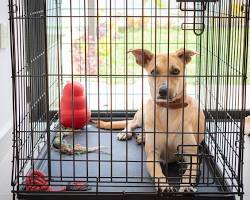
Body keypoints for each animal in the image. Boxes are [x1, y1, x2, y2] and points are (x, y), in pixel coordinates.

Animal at [94, 48, 204, 192]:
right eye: (154, 72)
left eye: (175, 71)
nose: (163, 91)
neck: (167, 111)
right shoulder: (152, 155)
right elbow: (157, 172)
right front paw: (164, 185)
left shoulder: (192, 155)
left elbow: (189, 172)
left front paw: (185, 186)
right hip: (143, 114)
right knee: (132, 122)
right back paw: (128, 133)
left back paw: (142, 136)